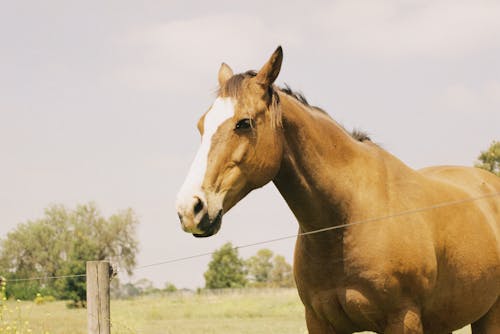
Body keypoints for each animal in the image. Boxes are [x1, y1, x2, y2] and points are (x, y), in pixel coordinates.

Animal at [176, 47, 500, 334]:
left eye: (244, 123)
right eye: (201, 125)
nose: (190, 208)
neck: (348, 218)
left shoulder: (403, 320)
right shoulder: (319, 322)